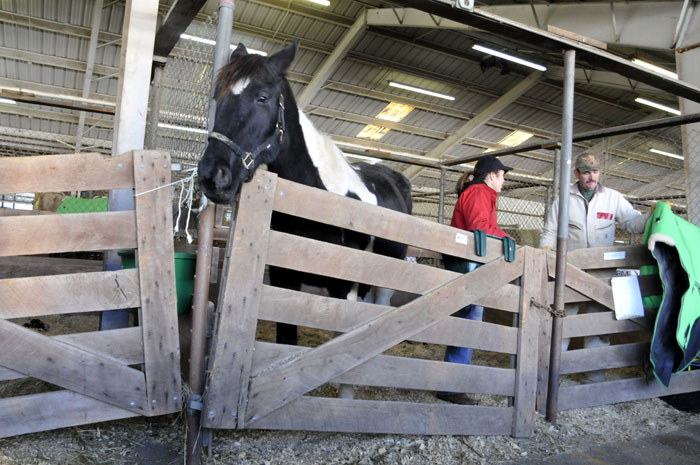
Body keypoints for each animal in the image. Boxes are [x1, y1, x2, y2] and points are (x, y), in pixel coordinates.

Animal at [198, 40, 413, 347]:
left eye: (262, 98)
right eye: (219, 96)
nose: (212, 176)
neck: (321, 202)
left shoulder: (343, 290)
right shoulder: (284, 280)